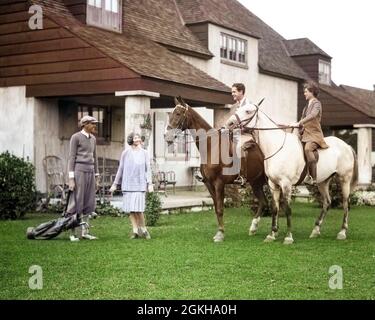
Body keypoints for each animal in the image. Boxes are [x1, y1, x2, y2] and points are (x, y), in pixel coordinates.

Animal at [164, 96, 268, 241]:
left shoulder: (219, 183)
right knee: (264, 202)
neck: (210, 146)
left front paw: (220, 234)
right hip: (256, 182)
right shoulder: (209, 184)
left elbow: (220, 208)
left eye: (178, 113)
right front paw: (220, 231)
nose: (166, 136)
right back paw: (253, 228)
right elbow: (216, 209)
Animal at [226, 104, 358, 244]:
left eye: (248, 111)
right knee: (327, 202)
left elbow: (287, 209)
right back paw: (315, 230)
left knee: (346, 203)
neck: (276, 147)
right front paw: (271, 234)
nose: (229, 123)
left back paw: (342, 232)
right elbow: (275, 208)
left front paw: (288, 237)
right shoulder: (273, 185)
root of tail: (346, 146)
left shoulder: (286, 184)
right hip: (323, 182)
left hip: (344, 179)